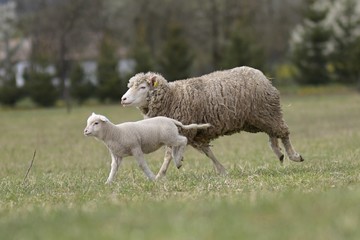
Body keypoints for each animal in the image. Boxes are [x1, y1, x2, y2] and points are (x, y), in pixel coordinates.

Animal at [83, 112, 211, 184]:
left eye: (96, 123)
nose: (85, 131)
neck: (115, 133)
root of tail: (170, 120)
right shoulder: (116, 155)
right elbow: (113, 168)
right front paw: (108, 182)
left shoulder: (136, 148)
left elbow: (142, 165)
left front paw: (153, 179)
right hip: (170, 138)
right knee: (175, 147)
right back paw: (178, 160)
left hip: (170, 137)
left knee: (184, 140)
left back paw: (178, 160)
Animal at [121, 66, 304, 175]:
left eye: (143, 87)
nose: (123, 99)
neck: (173, 97)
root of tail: (261, 75)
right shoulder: (197, 133)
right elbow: (208, 152)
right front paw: (222, 170)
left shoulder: (182, 128)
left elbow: (168, 155)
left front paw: (160, 175)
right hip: (258, 118)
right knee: (272, 133)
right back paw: (279, 153)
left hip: (267, 111)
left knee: (283, 133)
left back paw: (293, 155)